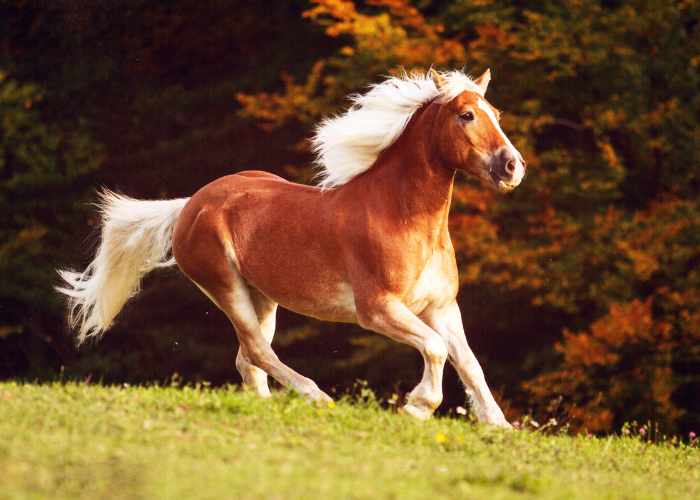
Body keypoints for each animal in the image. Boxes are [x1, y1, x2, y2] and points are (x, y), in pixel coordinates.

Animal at [56, 69, 524, 430]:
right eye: (466, 115)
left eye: (496, 114)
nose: (512, 166)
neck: (404, 216)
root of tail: (190, 204)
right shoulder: (377, 309)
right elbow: (437, 349)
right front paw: (417, 408)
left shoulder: (442, 307)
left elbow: (469, 362)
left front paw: (499, 426)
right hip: (226, 287)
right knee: (257, 352)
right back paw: (317, 398)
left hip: (262, 297)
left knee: (248, 360)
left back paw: (266, 410)